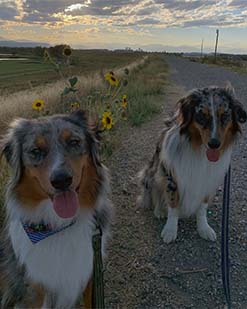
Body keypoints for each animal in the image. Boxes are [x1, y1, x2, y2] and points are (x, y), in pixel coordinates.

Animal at [0, 110, 113, 306]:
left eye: (73, 142)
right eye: (36, 151)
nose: (61, 180)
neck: (59, 226)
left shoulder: (90, 273)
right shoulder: (34, 292)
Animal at [138, 84, 246, 243]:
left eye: (225, 115)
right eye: (202, 116)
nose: (214, 144)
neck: (199, 149)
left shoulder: (208, 180)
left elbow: (202, 208)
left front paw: (204, 228)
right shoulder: (171, 176)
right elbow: (173, 204)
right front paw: (170, 230)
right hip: (151, 173)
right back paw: (159, 210)